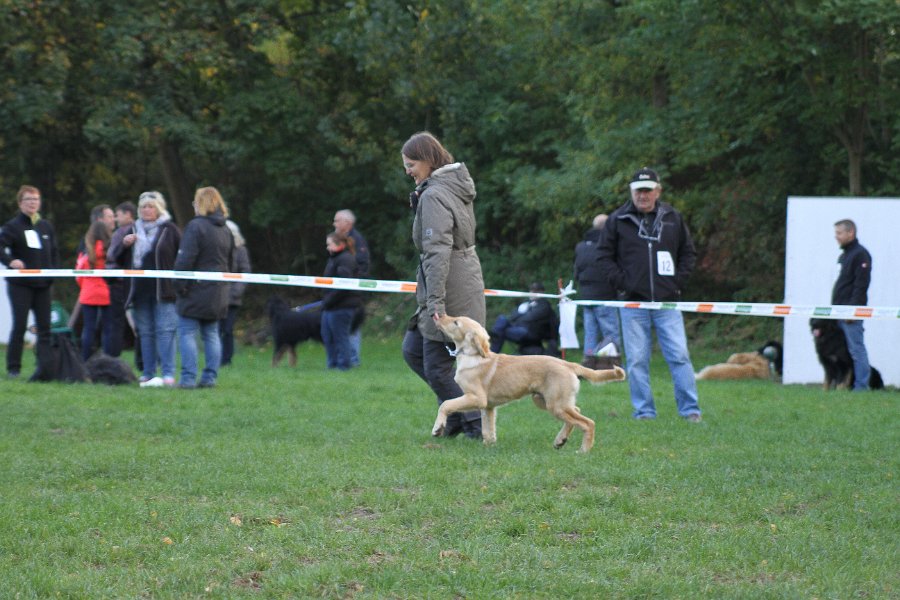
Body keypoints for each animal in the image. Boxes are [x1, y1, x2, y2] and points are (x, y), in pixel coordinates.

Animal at [433, 314, 626, 453]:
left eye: (456, 322)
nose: (438, 316)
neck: (472, 356)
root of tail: (569, 364)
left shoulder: (476, 398)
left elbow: (446, 404)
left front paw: (438, 428)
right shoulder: (488, 406)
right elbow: (488, 428)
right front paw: (488, 446)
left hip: (555, 404)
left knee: (588, 423)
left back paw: (583, 450)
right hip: (547, 401)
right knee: (576, 413)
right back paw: (560, 440)